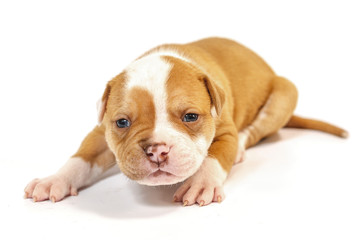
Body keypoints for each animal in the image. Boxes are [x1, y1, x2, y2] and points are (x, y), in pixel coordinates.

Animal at [23, 37, 348, 206]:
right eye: (122, 123)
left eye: (190, 117)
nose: (157, 151)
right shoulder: (100, 132)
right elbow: (82, 157)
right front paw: (55, 180)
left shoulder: (226, 132)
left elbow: (215, 156)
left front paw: (201, 183)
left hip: (284, 93)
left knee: (253, 131)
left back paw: (242, 150)